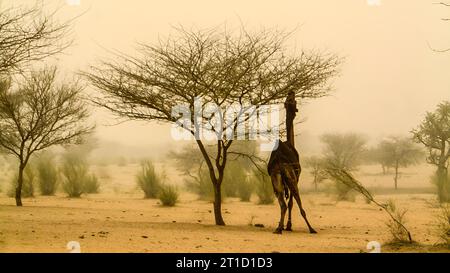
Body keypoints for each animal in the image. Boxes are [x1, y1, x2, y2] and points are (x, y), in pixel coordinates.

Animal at [268, 92, 316, 234]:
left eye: (289, 100)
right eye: (293, 102)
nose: (292, 91)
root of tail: (279, 161)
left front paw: (284, 225)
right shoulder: (297, 177)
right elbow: (291, 203)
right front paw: (289, 225)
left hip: (275, 180)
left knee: (282, 204)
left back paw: (278, 228)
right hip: (292, 179)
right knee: (296, 204)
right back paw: (311, 228)